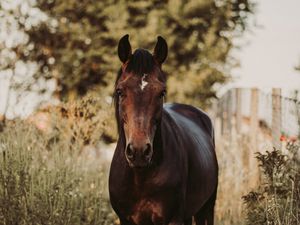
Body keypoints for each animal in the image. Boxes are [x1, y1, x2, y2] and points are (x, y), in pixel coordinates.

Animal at [108, 33, 218, 225]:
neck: (140, 176)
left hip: (207, 207)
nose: (139, 151)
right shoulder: (125, 219)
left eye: (162, 92)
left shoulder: (173, 218)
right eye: (120, 91)